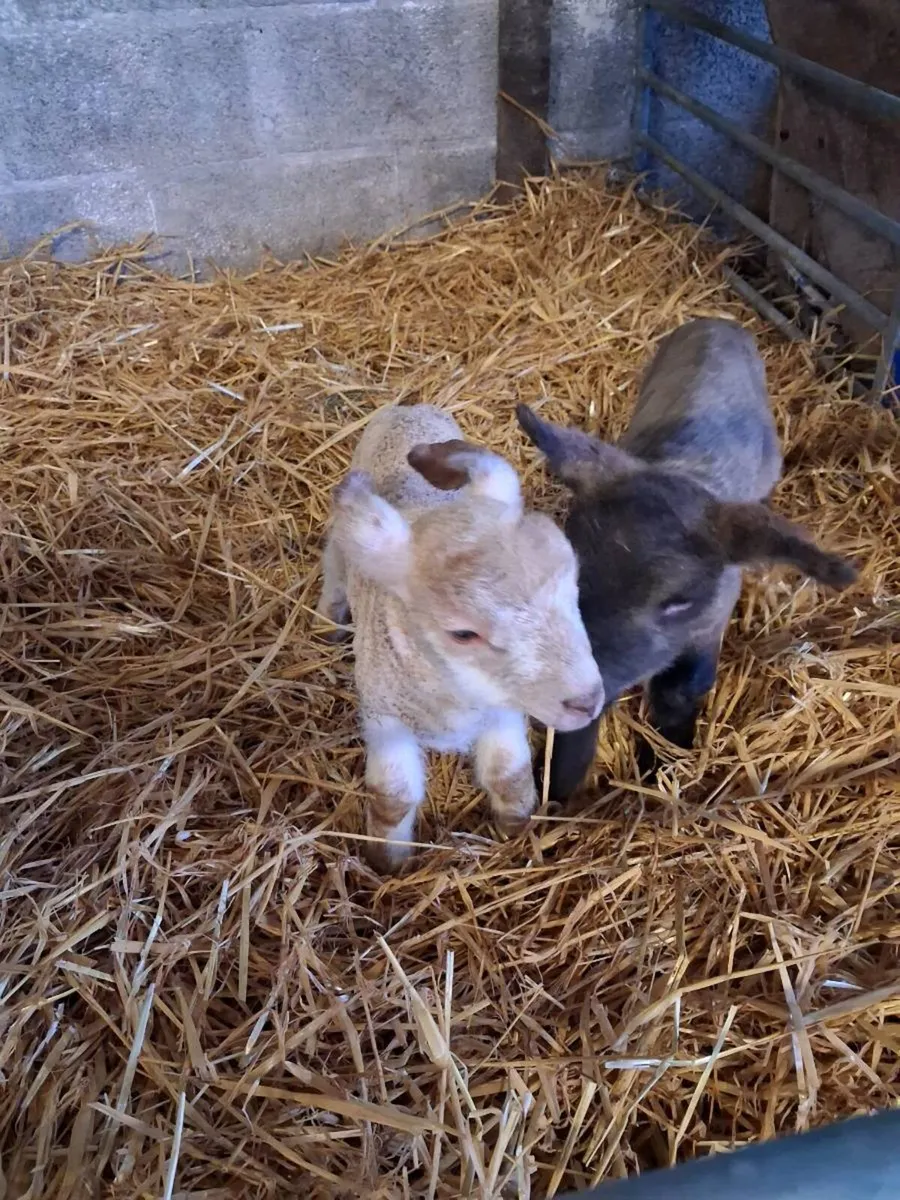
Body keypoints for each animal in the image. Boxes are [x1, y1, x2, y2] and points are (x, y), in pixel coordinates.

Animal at [317, 403, 604, 869]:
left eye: (574, 585)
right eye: (463, 633)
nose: (587, 701)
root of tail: (407, 407)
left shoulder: (502, 707)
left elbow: (508, 776)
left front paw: (515, 830)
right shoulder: (385, 718)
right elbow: (393, 799)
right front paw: (387, 862)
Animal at [516, 317, 858, 802]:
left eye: (679, 601)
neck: (682, 467)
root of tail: (718, 321)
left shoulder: (709, 623)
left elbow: (681, 690)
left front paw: (666, 760)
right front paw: (558, 789)